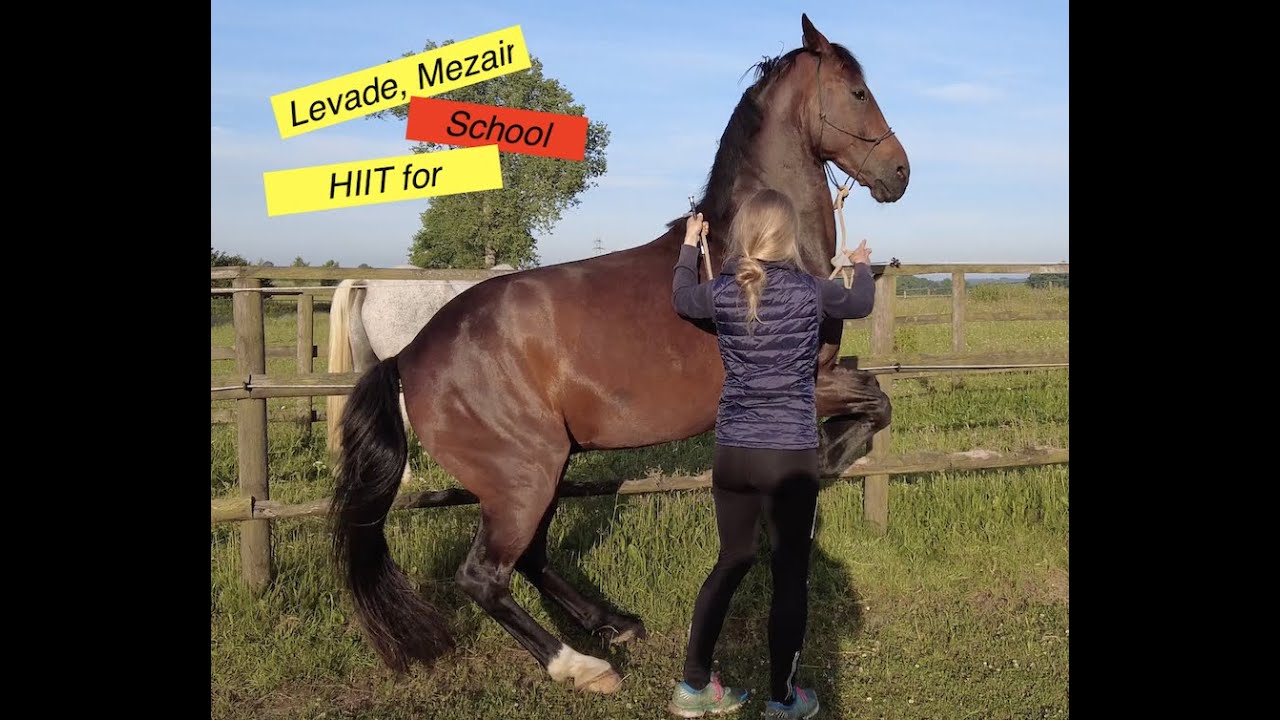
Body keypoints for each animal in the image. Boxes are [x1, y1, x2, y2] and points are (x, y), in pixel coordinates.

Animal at [330, 13, 910, 694]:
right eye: (858, 93)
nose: (899, 172)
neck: (754, 258)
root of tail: (412, 355)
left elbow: (872, 405)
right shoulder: (800, 384)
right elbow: (875, 405)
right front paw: (823, 463)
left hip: (544, 470)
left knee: (530, 558)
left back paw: (612, 622)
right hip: (523, 476)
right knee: (485, 577)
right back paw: (583, 665)